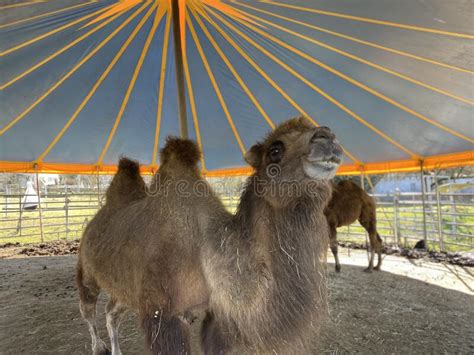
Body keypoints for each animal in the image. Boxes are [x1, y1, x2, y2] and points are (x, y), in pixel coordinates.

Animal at [76, 118, 342, 354]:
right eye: (275, 150)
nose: (328, 138)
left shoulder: (216, 313)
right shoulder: (161, 314)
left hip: (124, 287)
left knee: (111, 313)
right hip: (87, 271)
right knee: (88, 309)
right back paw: (97, 346)